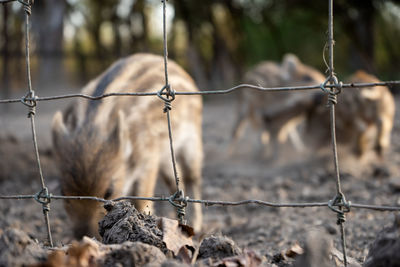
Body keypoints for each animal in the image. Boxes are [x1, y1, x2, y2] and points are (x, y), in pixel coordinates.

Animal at [52, 52, 203, 239]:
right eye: (62, 192)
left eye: (109, 192)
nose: (84, 237)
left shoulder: (148, 157)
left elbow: (142, 197)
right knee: (174, 180)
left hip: (192, 141)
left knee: (192, 178)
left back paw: (196, 226)